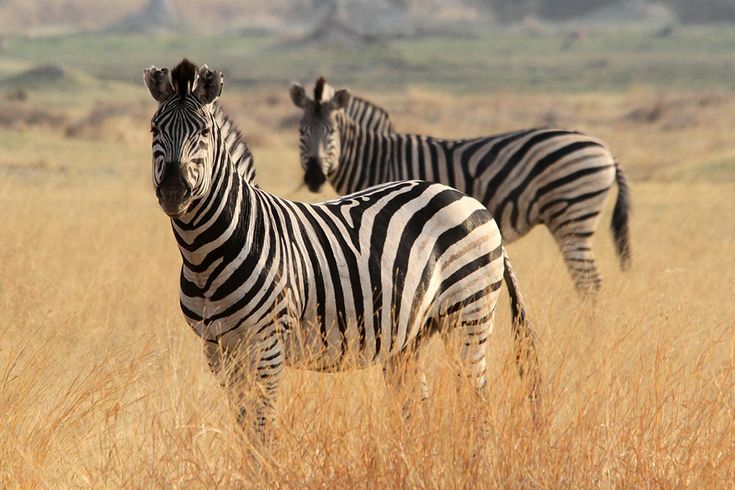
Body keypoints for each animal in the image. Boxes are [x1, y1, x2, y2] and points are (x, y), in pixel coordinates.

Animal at [143, 59, 541, 440]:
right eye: (154, 131)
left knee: (477, 402)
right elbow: (244, 429)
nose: (174, 193)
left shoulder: (267, 346)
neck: (207, 254)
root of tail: (467, 199)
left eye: (204, 133)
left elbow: (261, 430)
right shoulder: (219, 350)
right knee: (417, 408)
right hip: (410, 336)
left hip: (469, 313)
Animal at [291, 78, 632, 297]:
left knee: (589, 282)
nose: (315, 177)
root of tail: (605, 149)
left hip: (573, 215)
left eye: (332, 131)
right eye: (301, 131)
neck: (378, 157)